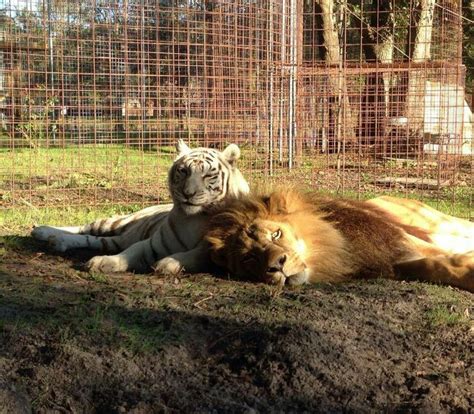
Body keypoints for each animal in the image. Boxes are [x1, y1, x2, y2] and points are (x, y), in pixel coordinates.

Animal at [31, 139, 250, 274]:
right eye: (184, 171)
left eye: (208, 175)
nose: (188, 194)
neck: (193, 218)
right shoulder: (154, 243)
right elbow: (133, 251)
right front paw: (106, 262)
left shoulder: (214, 249)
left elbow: (193, 255)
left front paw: (168, 264)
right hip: (116, 222)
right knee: (86, 229)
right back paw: (43, 232)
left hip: (116, 238)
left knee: (97, 240)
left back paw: (56, 241)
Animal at [205, 191, 474, 292]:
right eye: (249, 258)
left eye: (276, 234)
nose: (276, 265)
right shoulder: (392, 263)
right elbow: (434, 265)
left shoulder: (400, 239)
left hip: (436, 222)